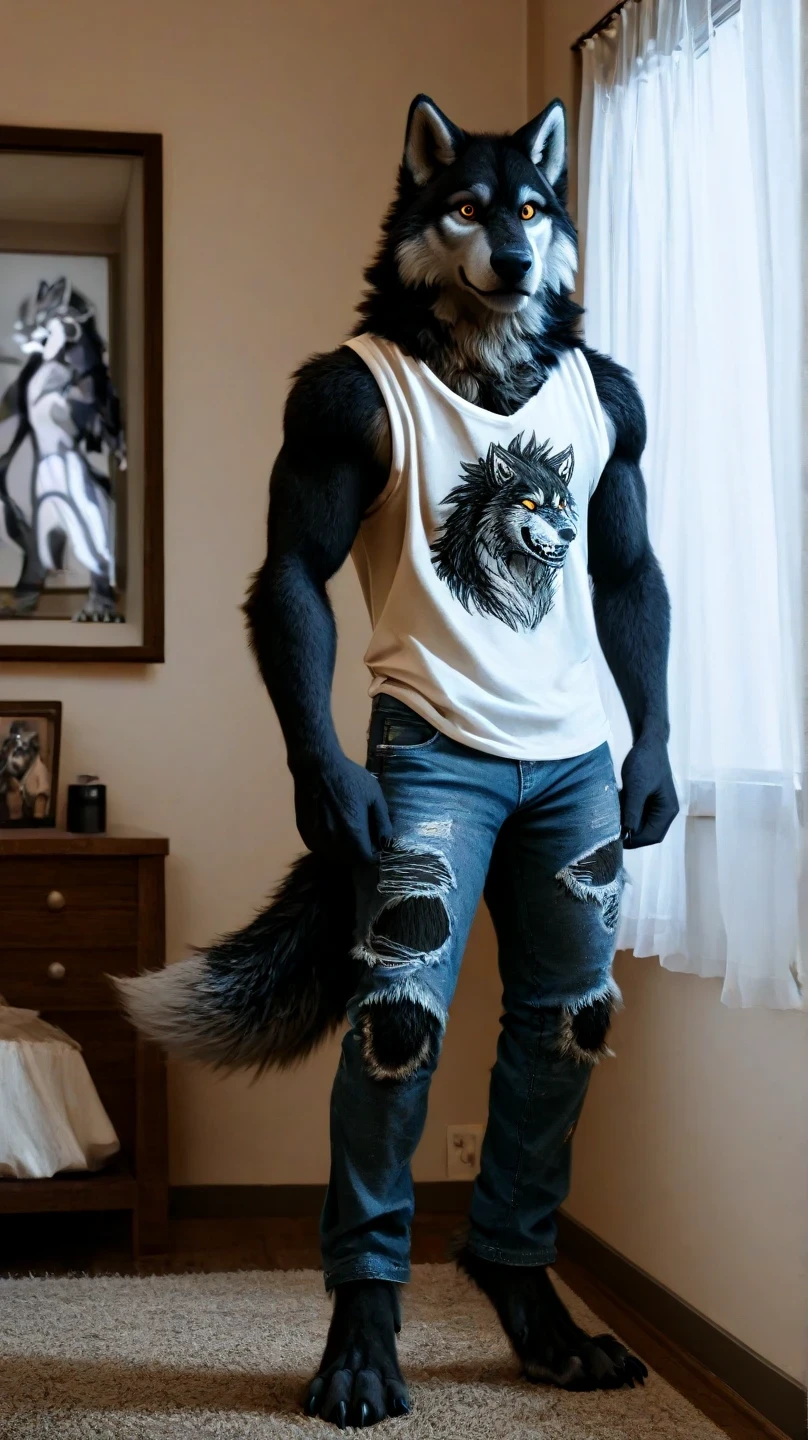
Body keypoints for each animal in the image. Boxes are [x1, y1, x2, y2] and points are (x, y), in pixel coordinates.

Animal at [118, 93, 676, 1427]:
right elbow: (294, 569)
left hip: (568, 870)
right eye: (463, 207)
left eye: (528, 208)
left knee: (563, 1019)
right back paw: (366, 1345)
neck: (487, 361)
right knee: (400, 1028)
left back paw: (530, 1302)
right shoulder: (325, 416)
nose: (517, 261)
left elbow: (628, 563)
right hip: (419, 874)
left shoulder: (622, 435)